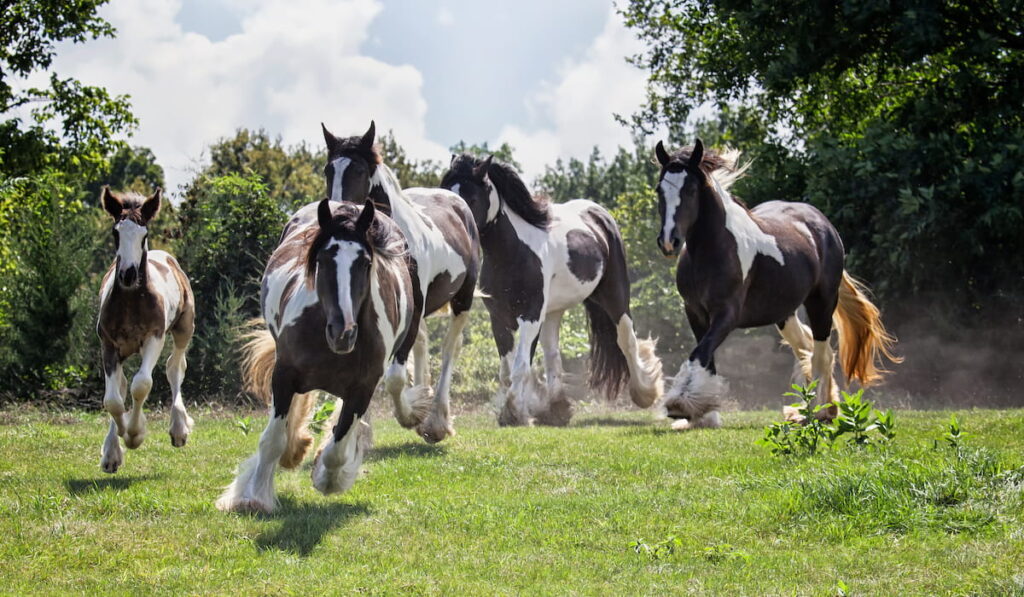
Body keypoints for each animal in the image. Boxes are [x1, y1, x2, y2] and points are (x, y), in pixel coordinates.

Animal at [98, 189, 197, 475]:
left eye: (143, 234)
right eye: (116, 233)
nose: (128, 275)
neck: (132, 301)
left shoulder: (154, 338)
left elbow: (142, 384)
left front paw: (134, 434)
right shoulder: (108, 344)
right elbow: (113, 399)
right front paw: (116, 445)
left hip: (184, 329)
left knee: (175, 367)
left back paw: (179, 428)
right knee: (120, 386)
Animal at [218, 200, 413, 514]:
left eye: (365, 262)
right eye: (322, 259)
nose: (342, 332)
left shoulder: (362, 389)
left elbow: (338, 446)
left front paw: (327, 477)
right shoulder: (284, 375)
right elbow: (272, 439)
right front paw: (253, 497)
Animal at [319, 123, 479, 446]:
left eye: (358, 170)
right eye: (328, 170)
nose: (338, 213)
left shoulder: (413, 312)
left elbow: (394, 377)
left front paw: (413, 415)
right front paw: (357, 433)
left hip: (462, 300)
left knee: (449, 349)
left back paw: (435, 420)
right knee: (424, 344)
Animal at [438, 154, 663, 425]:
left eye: (471, 198)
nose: (456, 228)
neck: (512, 253)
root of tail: (599, 214)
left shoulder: (531, 315)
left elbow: (521, 366)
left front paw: (514, 412)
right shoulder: (499, 317)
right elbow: (508, 370)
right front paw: (519, 410)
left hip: (615, 295)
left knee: (626, 339)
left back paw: (645, 394)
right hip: (554, 312)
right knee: (552, 354)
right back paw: (557, 409)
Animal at [651, 140, 901, 430]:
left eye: (691, 189)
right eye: (660, 190)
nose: (668, 241)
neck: (713, 249)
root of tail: (824, 226)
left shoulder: (727, 314)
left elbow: (700, 352)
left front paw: (680, 404)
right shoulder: (695, 312)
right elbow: (706, 355)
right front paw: (703, 415)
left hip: (822, 302)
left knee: (821, 353)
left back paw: (818, 412)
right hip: (785, 313)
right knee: (806, 348)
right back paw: (817, 408)